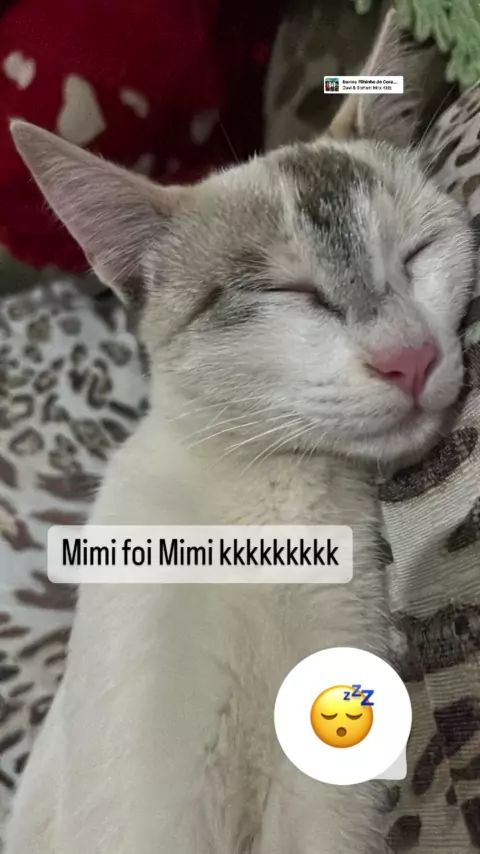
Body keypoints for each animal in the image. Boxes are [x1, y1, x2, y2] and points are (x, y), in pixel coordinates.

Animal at [5, 11, 476, 854]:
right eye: (293, 293)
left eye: (417, 254)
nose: (410, 357)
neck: (269, 505)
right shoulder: (145, 785)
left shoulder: (325, 795)